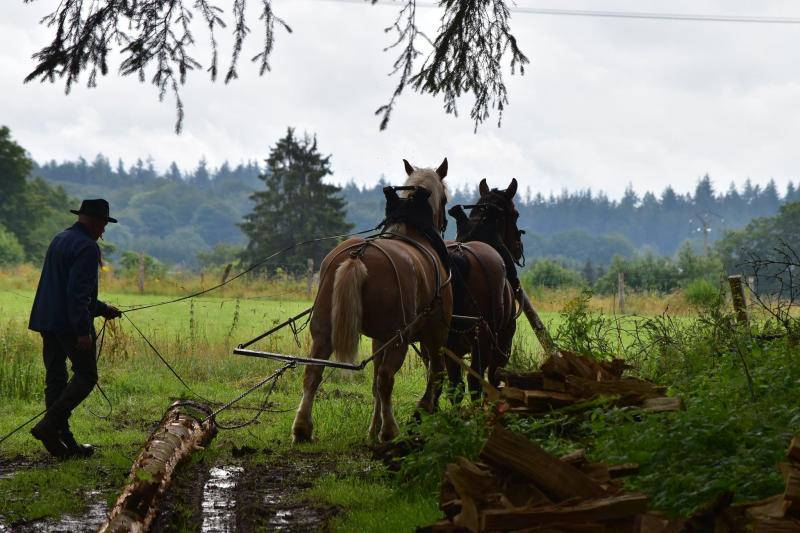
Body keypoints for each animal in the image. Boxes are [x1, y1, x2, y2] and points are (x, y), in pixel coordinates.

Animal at [290, 160, 454, 442]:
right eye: (444, 198)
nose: (444, 223)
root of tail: (357, 256)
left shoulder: (379, 338)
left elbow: (375, 379)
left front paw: (373, 427)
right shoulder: (436, 332)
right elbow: (436, 372)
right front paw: (420, 411)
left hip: (323, 331)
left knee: (313, 372)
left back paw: (302, 428)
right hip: (400, 337)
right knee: (387, 378)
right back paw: (390, 431)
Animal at [444, 180, 524, 400]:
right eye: (515, 214)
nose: (518, 248)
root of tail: (459, 255)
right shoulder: (503, 341)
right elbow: (495, 378)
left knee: (455, 385)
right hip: (484, 339)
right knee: (475, 381)